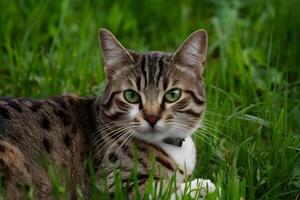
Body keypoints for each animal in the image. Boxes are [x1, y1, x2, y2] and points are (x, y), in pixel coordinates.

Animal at [0, 28, 216, 199]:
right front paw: (201, 186)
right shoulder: (111, 184)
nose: (152, 117)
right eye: (131, 95)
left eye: (173, 94)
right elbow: (159, 189)